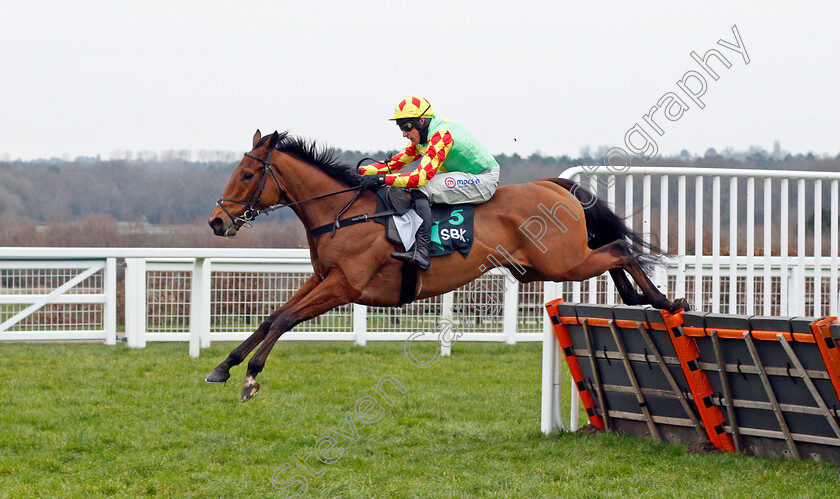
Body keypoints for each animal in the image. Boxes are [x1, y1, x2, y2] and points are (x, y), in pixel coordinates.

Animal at [207, 130, 684, 402]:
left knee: (619, 247)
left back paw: (662, 300)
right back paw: (636, 297)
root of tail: (556, 185)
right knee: (612, 251)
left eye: (247, 175)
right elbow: (271, 317)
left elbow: (284, 319)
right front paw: (225, 366)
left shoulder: (344, 285)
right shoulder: (323, 279)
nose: (218, 221)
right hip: (547, 266)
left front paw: (250, 377)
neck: (342, 214)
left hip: (561, 262)